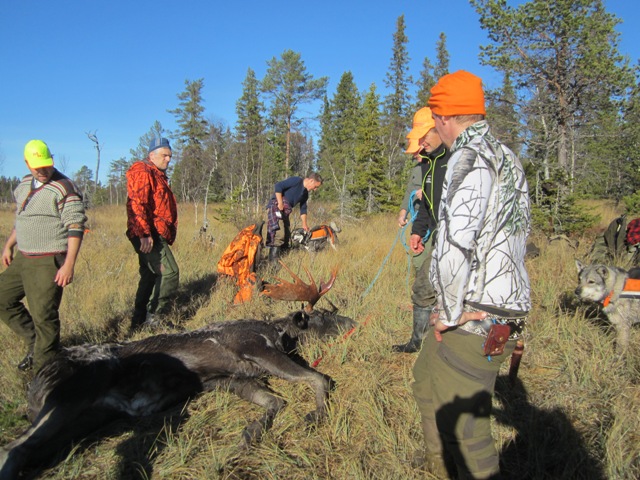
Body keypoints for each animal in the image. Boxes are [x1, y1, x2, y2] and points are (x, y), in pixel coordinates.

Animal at [0, 264, 356, 478]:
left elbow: (275, 403)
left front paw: (245, 439)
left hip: (86, 419)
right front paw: (316, 415)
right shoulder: (255, 348)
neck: (279, 333)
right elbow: (318, 378)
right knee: (13, 448)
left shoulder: (227, 379)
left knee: (29, 451)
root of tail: (35, 382)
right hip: (72, 395)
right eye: (322, 316)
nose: (352, 322)